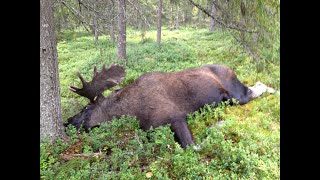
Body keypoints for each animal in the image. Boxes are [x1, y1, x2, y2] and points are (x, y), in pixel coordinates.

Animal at [65, 64, 276, 148]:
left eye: (85, 110)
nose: (66, 122)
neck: (130, 111)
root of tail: (231, 68)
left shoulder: (176, 116)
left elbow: (193, 146)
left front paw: (219, 125)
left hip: (235, 95)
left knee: (256, 88)